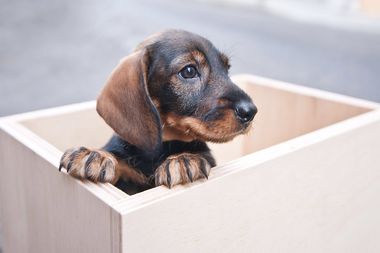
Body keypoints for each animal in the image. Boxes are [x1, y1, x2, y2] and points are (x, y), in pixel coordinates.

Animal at [58, 29, 256, 191]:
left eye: (227, 69)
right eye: (189, 71)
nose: (251, 111)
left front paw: (183, 159)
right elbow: (123, 164)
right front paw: (96, 155)